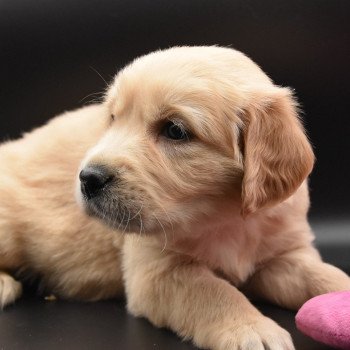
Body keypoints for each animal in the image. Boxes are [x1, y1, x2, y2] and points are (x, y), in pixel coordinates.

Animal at [0, 47, 350, 350]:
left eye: (175, 131)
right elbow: (212, 291)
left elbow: (321, 273)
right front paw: (252, 330)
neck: (225, 218)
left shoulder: (283, 254)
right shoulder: (157, 272)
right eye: (113, 119)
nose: (87, 178)